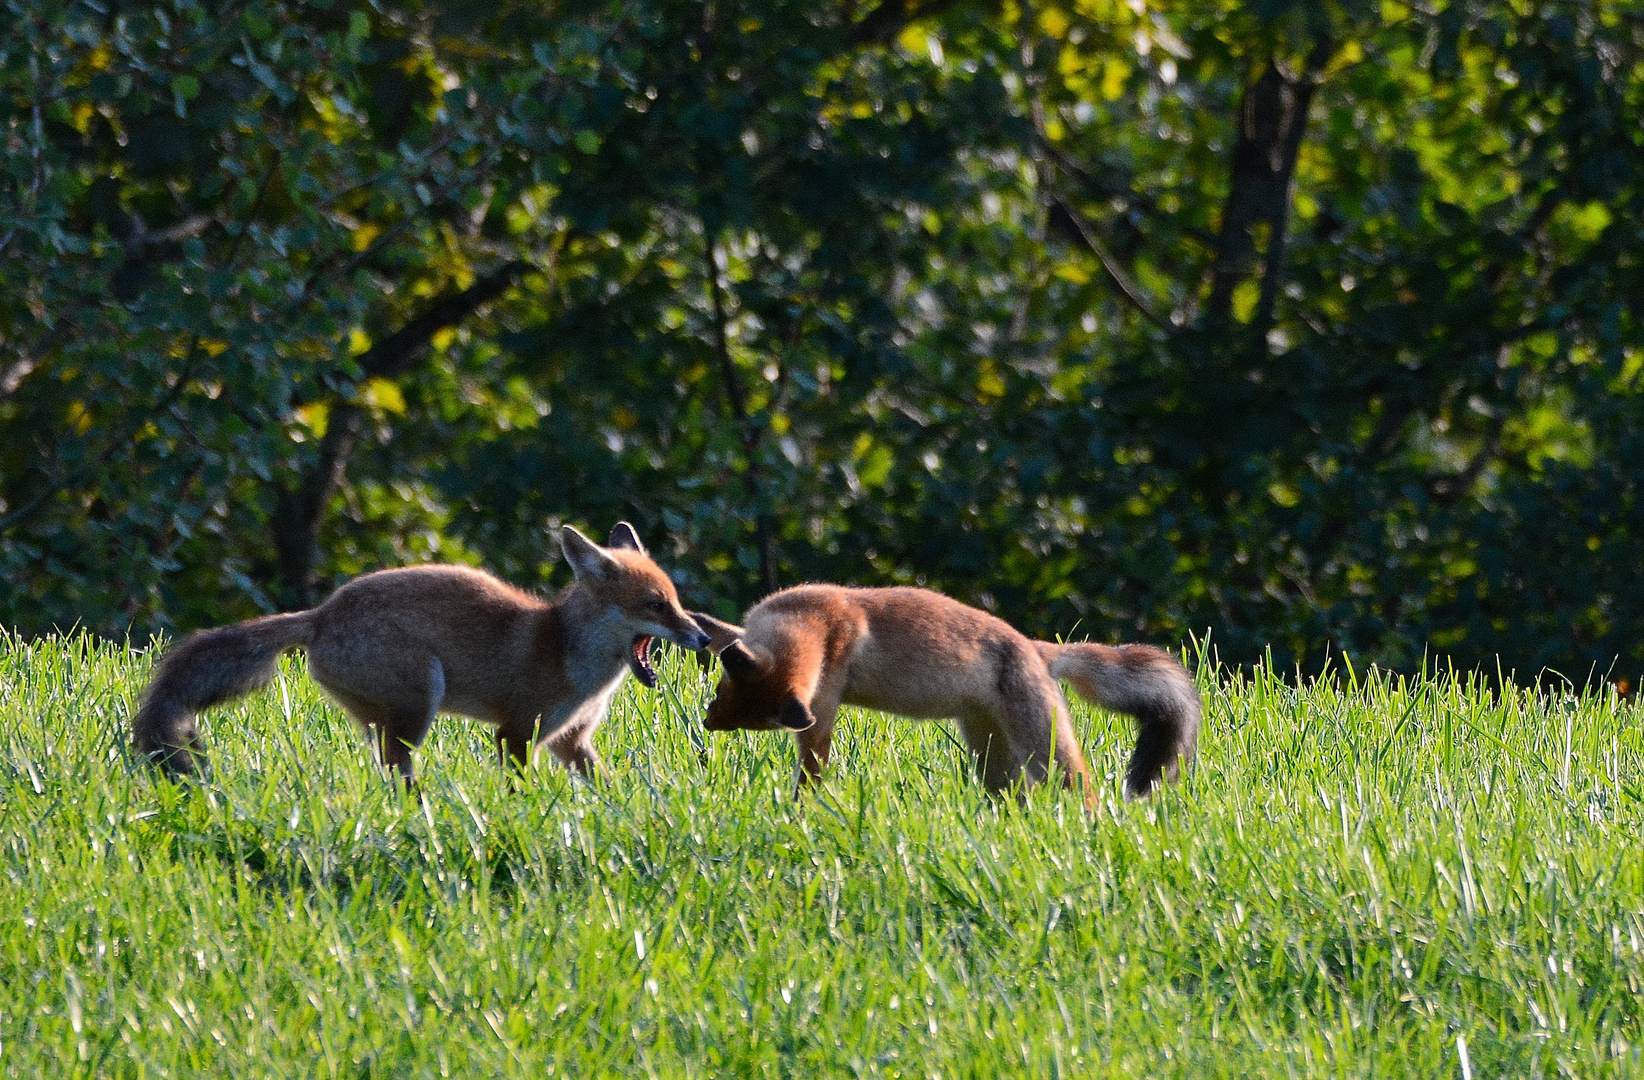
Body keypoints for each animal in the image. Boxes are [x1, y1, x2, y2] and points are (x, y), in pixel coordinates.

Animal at [131, 519, 710, 779]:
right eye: (656, 605)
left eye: (677, 602)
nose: (703, 637)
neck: (573, 661)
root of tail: (322, 614)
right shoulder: (517, 732)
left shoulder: (572, 741)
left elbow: (604, 784)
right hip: (420, 700)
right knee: (397, 770)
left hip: (383, 718)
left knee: (382, 769)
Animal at [690, 581, 1196, 798]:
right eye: (722, 693)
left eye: (753, 726)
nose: (708, 723)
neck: (817, 623)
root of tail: (1036, 648)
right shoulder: (745, 635)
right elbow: (714, 630)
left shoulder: (821, 705)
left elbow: (813, 763)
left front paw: (802, 811)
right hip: (992, 757)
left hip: (1044, 748)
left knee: (1079, 783)